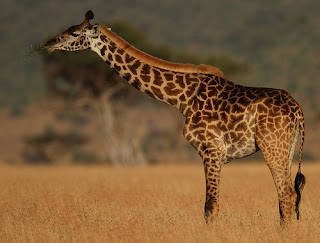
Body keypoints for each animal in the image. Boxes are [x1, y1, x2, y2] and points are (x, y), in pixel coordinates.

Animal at [43, 10, 306, 224]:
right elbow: (210, 205)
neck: (182, 99)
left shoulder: (211, 150)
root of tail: (298, 111)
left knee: (286, 194)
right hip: (287, 149)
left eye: (74, 33)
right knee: (288, 197)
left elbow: (210, 206)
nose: (48, 44)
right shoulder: (214, 154)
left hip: (272, 147)